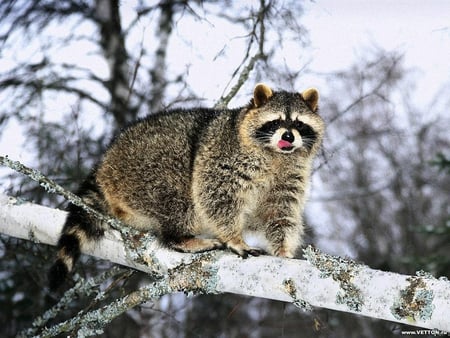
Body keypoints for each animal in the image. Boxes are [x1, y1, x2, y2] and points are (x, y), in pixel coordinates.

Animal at [48, 83, 324, 290]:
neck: (276, 156)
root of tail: (105, 163)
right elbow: (215, 196)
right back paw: (180, 237)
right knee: (178, 195)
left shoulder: (290, 175)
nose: (288, 136)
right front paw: (234, 237)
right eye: (275, 122)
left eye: (299, 124)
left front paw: (283, 249)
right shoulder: (223, 157)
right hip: (144, 167)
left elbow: (280, 211)